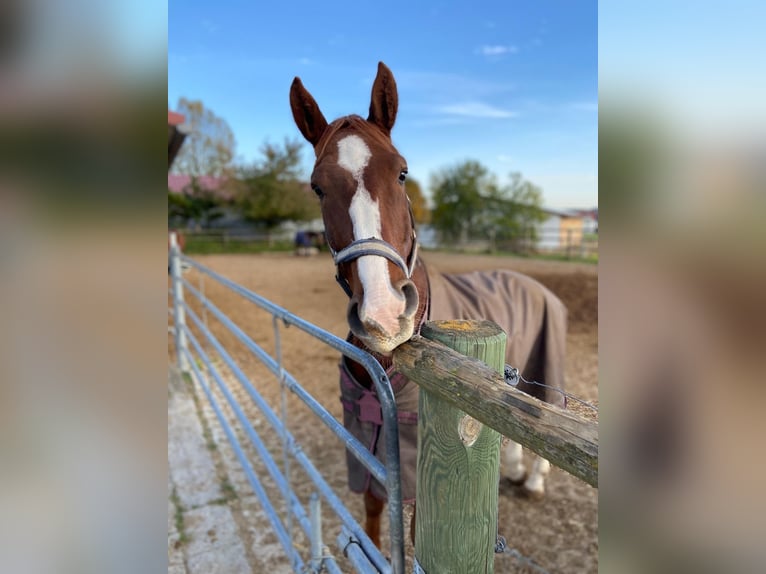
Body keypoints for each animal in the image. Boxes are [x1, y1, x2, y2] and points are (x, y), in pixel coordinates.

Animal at [292, 62, 568, 548]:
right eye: (317, 187)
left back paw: (533, 480)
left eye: (402, 172)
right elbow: (373, 521)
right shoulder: (370, 452)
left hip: (543, 363)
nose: (384, 315)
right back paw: (516, 470)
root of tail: (534, 283)